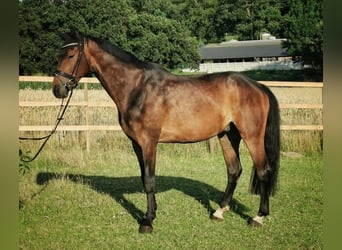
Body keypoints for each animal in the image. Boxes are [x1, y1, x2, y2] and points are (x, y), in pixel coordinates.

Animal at [52, 29, 280, 234]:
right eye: (60, 54)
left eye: (71, 55)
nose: (57, 89)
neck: (137, 88)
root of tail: (258, 86)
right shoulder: (137, 144)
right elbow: (144, 178)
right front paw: (150, 214)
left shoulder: (149, 142)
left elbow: (150, 179)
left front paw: (147, 222)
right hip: (227, 135)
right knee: (234, 171)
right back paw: (219, 212)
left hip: (252, 137)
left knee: (263, 171)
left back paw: (259, 217)